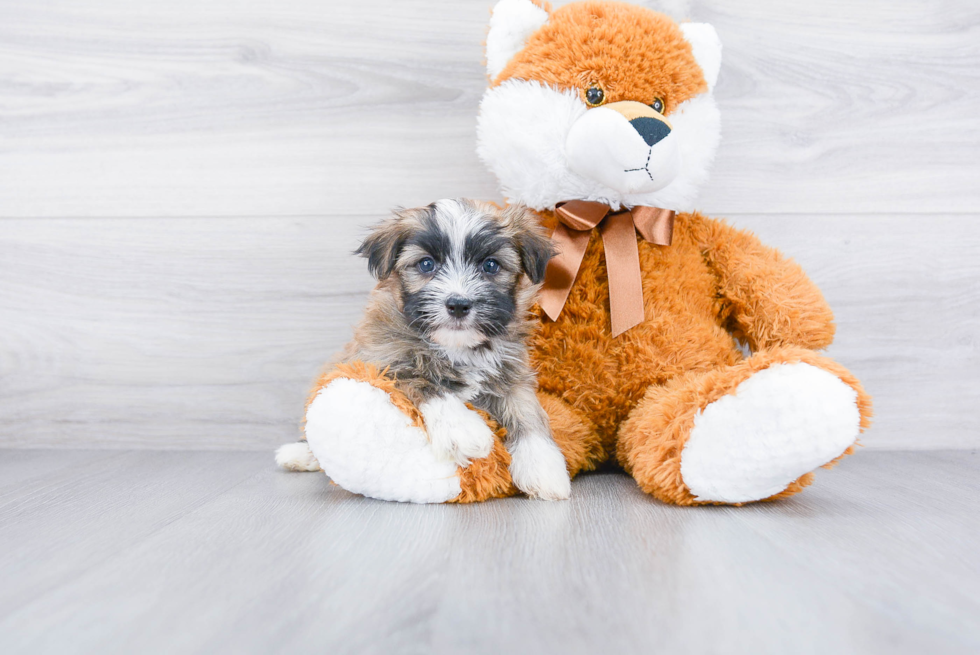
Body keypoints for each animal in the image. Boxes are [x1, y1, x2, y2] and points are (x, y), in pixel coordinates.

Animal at [284, 200, 576, 502]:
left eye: (490, 265)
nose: (458, 304)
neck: (456, 347)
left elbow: (527, 412)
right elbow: (425, 381)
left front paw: (542, 467)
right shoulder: (383, 359)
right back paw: (300, 453)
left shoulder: (513, 374)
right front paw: (465, 430)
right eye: (426, 264)